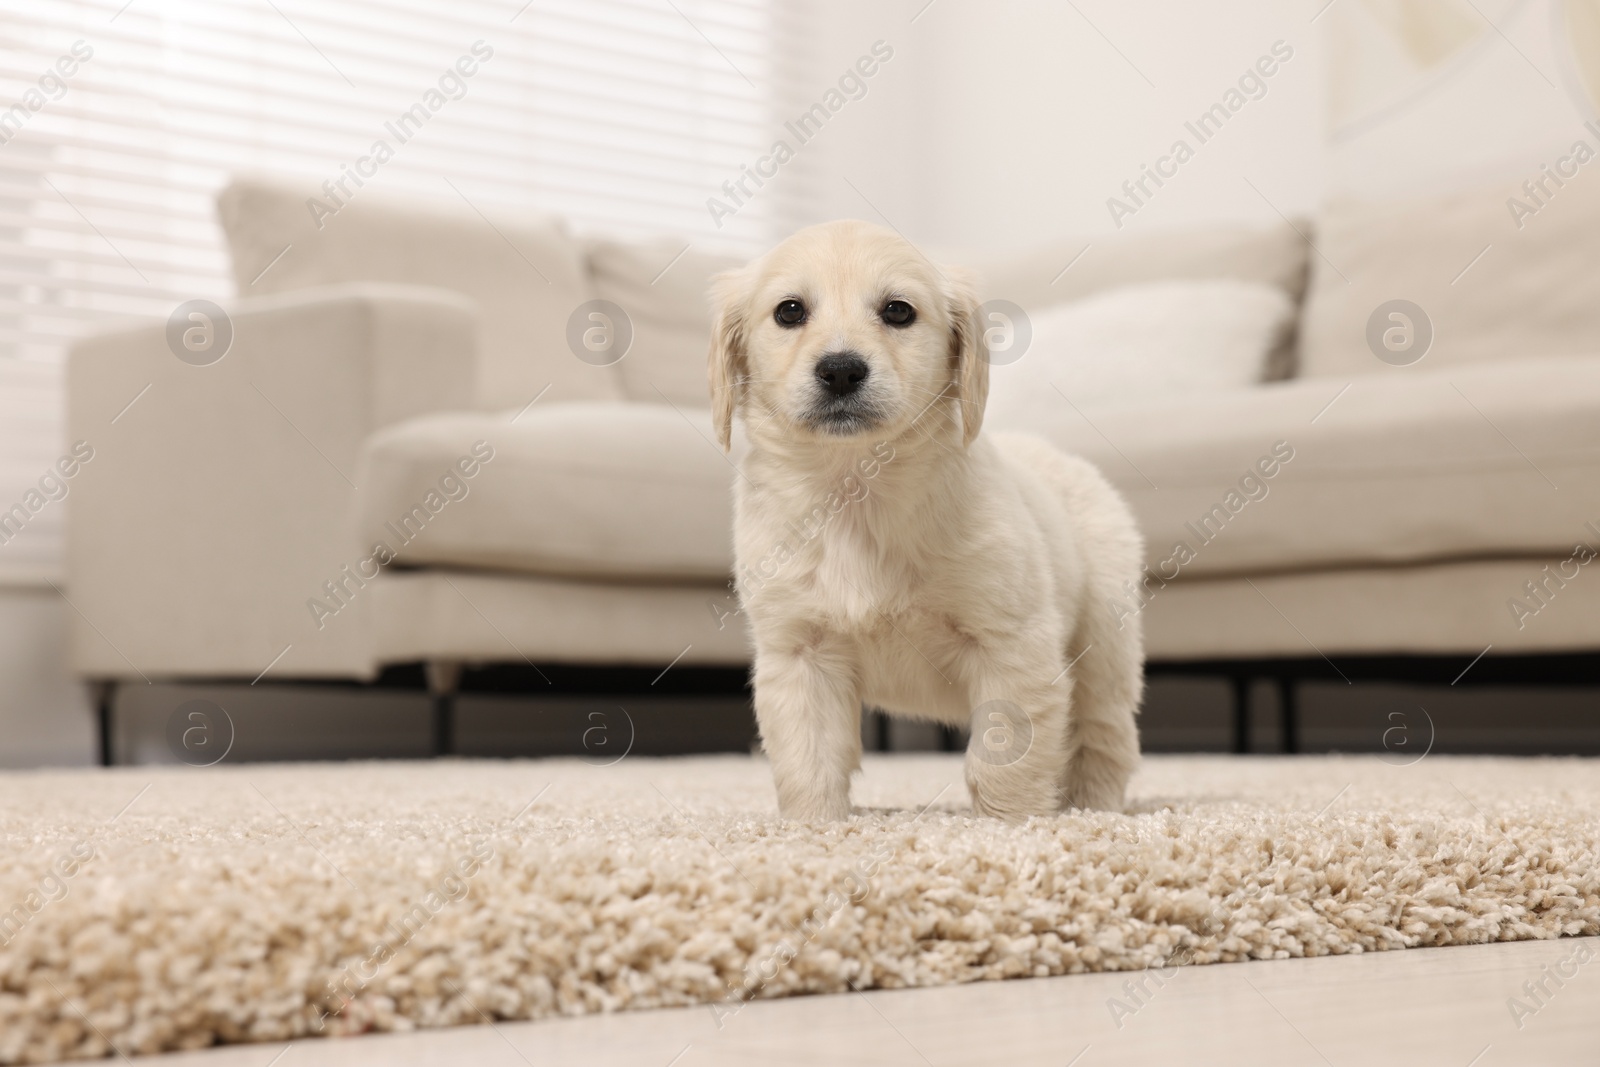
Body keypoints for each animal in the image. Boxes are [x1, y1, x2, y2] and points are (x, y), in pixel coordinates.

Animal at [710, 214, 1139, 819]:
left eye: (898, 311)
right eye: (789, 311)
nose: (840, 371)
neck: (857, 490)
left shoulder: (1012, 643)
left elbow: (1004, 755)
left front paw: (1012, 824)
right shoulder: (799, 652)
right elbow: (808, 758)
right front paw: (815, 827)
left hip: (1104, 644)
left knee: (1105, 735)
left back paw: (1089, 809)